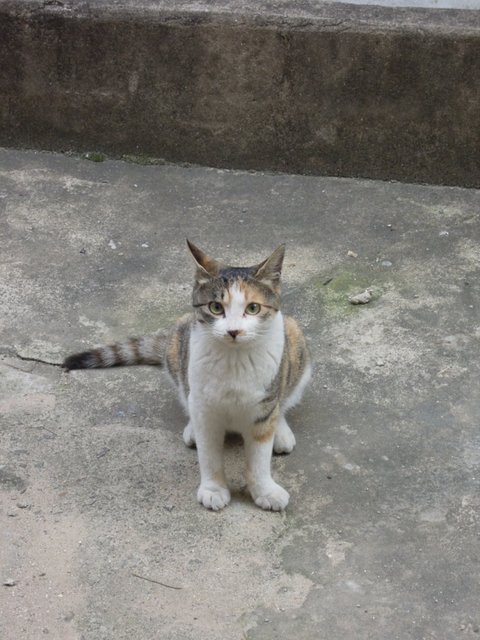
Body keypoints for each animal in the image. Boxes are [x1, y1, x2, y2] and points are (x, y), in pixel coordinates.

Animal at [63, 241, 311, 511]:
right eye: (216, 307)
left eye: (253, 308)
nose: (234, 331)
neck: (234, 360)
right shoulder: (204, 405)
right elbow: (209, 453)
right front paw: (213, 488)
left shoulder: (264, 402)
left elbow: (259, 457)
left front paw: (265, 491)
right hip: (178, 338)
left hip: (295, 340)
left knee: (284, 399)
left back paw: (281, 431)